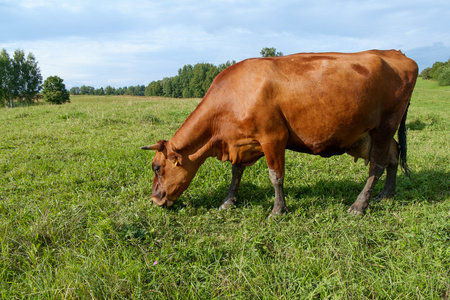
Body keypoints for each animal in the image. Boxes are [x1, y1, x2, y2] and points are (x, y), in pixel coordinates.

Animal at [141, 51, 418, 216]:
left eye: (157, 167)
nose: (154, 201)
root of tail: (397, 54)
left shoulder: (273, 137)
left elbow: (276, 176)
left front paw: (278, 209)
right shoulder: (243, 143)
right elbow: (236, 172)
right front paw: (228, 201)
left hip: (385, 126)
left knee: (377, 165)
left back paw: (360, 205)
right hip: (369, 134)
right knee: (393, 155)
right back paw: (387, 194)